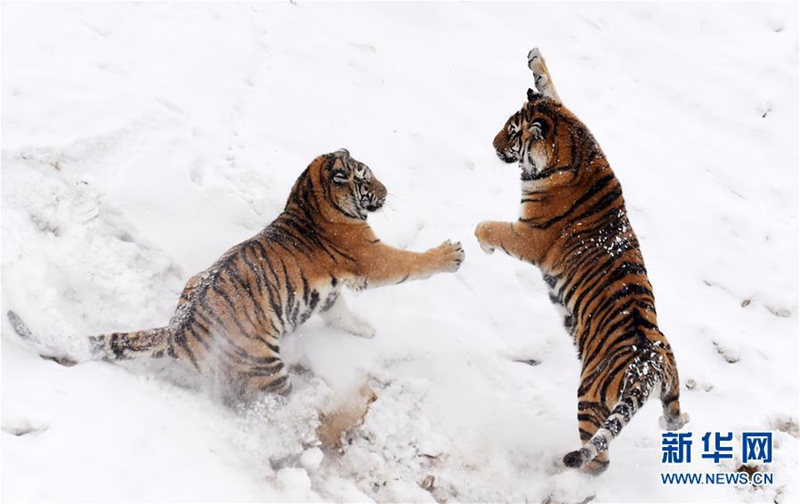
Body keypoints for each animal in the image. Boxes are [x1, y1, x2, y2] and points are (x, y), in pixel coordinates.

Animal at [7, 148, 465, 403]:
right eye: (366, 175)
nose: (386, 193)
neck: (310, 198)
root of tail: (177, 330)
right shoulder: (373, 258)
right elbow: (411, 263)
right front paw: (451, 254)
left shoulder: (331, 292)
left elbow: (340, 312)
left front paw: (365, 331)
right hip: (266, 368)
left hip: (195, 283)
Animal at [475, 48, 689, 474]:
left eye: (512, 132)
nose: (491, 144)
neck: (574, 143)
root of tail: (648, 366)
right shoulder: (566, 109)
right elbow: (550, 88)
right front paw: (535, 59)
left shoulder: (529, 235)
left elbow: (492, 228)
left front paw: (481, 240)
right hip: (672, 381)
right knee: (673, 416)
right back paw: (675, 421)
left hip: (589, 396)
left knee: (597, 455)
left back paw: (566, 467)